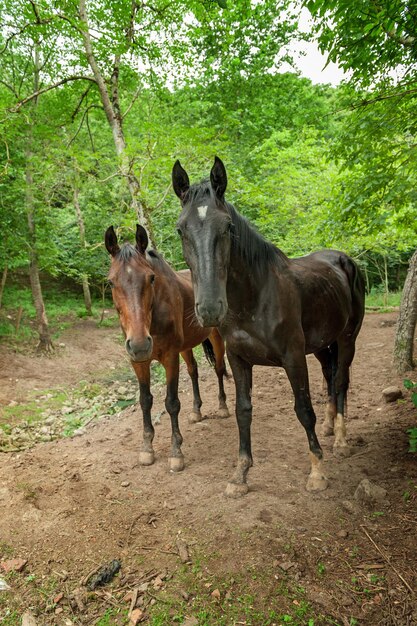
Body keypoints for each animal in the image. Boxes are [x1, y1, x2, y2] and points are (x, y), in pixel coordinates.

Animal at [103, 222, 228, 470]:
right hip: (186, 347)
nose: (140, 344)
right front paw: (146, 448)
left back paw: (222, 407)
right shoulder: (137, 361)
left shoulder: (170, 357)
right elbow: (145, 401)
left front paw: (176, 452)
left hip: (216, 337)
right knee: (193, 371)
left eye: (151, 278)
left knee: (219, 369)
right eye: (111, 282)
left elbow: (171, 403)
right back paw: (196, 411)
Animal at [172, 157, 364, 498]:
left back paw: (340, 440)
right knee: (330, 377)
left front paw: (317, 471)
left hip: (347, 339)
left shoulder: (293, 358)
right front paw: (240, 475)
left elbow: (304, 409)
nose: (209, 309)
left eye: (227, 227)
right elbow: (243, 411)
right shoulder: (238, 359)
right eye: (181, 229)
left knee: (340, 381)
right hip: (322, 346)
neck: (255, 295)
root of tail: (345, 261)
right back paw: (330, 428)